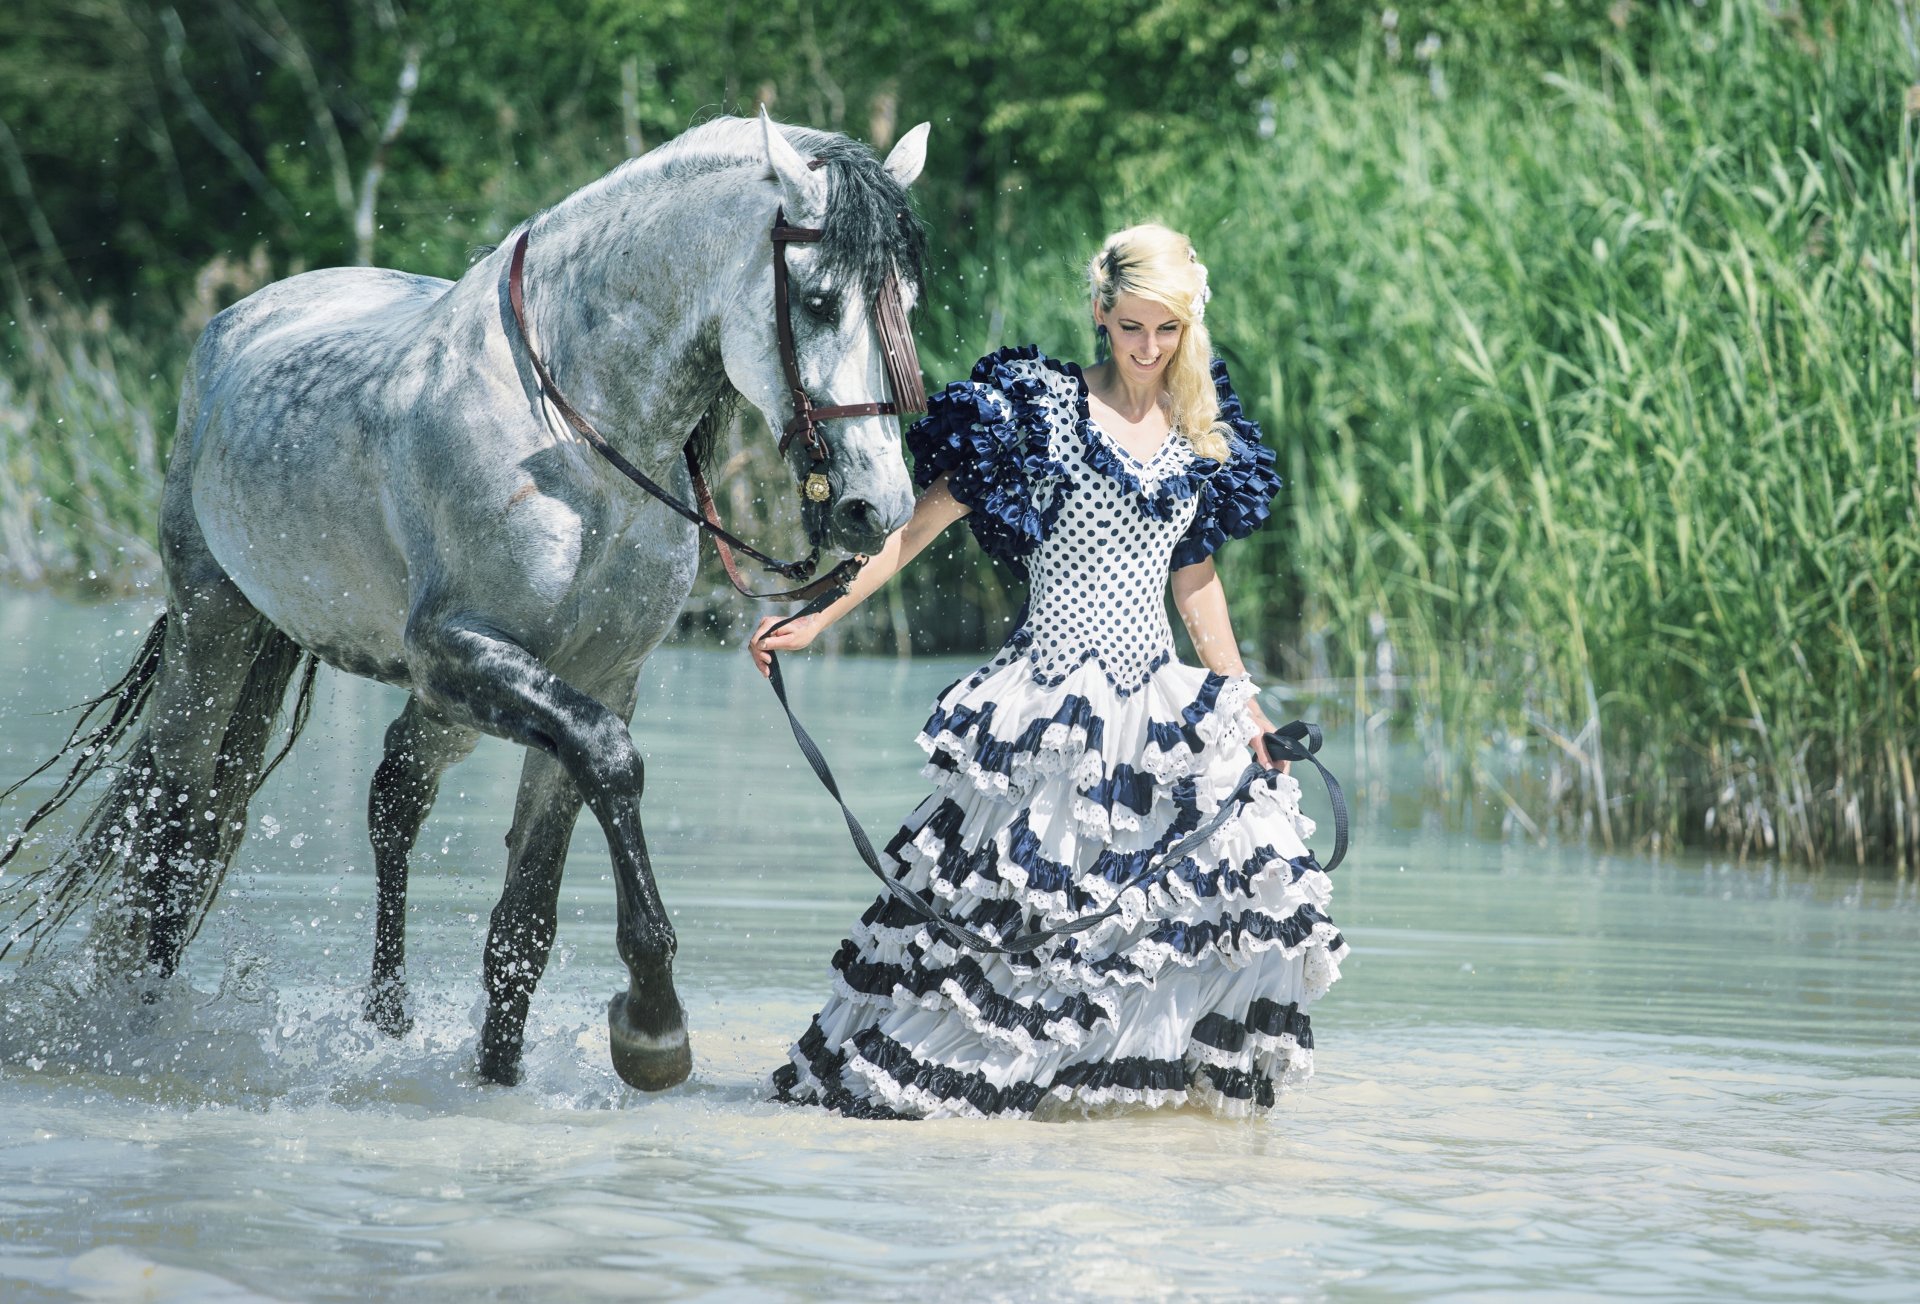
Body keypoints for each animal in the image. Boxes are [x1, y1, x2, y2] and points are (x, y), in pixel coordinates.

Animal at [0, 110, 930, 1093]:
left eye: (906, 303)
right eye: (820, 302)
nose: (878, 508)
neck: (576, 443)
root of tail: (242, 320)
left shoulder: (598, 676)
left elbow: (525, 918)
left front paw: (508, 1071)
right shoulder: (459, 653)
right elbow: (611, 761)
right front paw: (652, 1025)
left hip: (428, 702)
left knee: (388, 797)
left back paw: (386, 1017)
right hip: (213, 626)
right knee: (179, 822)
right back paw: (139, 1031)